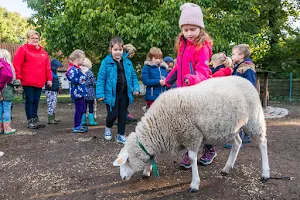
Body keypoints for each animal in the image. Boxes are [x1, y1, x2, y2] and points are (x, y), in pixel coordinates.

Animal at [112, 76, 270, 192]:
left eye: (126, 161)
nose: (122, 177)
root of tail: (246, 81)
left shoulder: (192, 134)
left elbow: (193, 158)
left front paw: (194, 184)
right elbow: (153, 155)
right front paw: (147, 170)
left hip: (254, 120)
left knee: (262, 143)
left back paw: (265, 173)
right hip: (232, 127)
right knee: (237, 143)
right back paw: (226, 168)